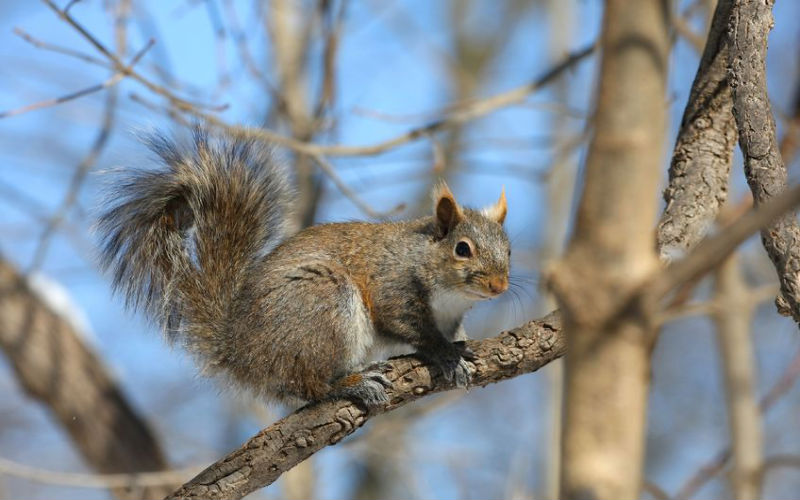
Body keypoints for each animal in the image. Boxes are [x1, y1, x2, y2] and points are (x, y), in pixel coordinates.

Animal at [97, 128, 510, 406]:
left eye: (508, 248)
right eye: (462, 249)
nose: (500, 287)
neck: (450, 296)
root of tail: (240, 350)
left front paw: (459, 345)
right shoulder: (393, 285)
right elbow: (408, 324)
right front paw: (446, 354)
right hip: (321, 305)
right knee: (309, 386)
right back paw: (351, 384)